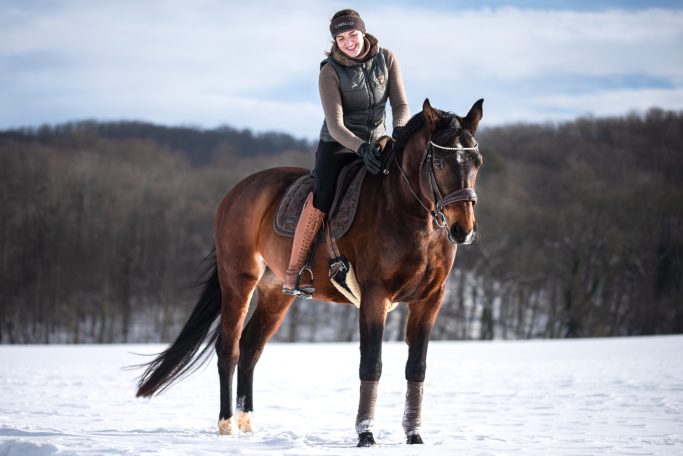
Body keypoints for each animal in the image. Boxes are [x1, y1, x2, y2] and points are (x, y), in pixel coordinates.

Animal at [136, 98, 484, 447]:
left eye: (477, 162)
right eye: (438, 162)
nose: (463, 230)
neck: (407, 213)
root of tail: (237, 191)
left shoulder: (429, 301)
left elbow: (417, 368)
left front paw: (414, 436)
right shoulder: (375, 296)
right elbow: (371, 364)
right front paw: (366, 434)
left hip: (276, 293)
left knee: (250, 347)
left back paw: (248, 423)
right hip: (238, 282)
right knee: (229, 349)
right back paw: (226, 424)